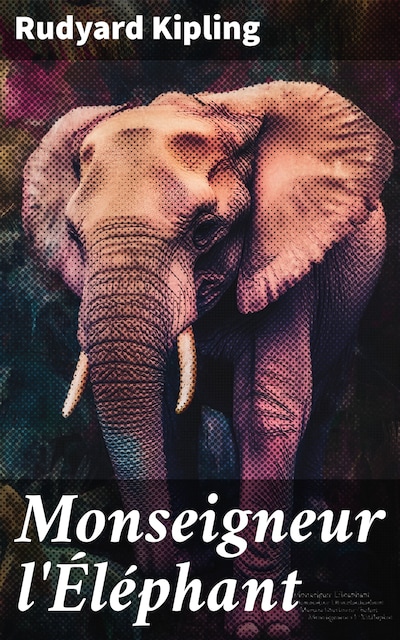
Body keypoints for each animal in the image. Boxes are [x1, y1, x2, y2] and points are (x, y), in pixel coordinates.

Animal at [21, 81, 393, 638]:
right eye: (76, 236)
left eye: (205, 230)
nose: (157, 577)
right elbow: (165, 416)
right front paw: (185, 577)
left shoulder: (287, 262)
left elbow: (267, 412)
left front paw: (262, 627)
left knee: (323, 402)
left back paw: (311, 522)